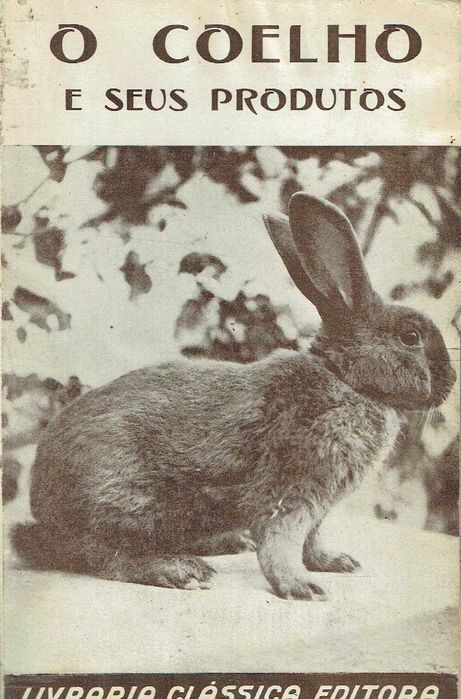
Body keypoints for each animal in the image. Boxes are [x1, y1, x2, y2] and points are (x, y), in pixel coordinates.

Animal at [12, 193, 456, 600]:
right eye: (411, 336)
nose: (451, 381)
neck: (345, 379)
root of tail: (42, 509)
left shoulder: (320, 506)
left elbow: (311, 541)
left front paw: (334, 563)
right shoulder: (292, 489)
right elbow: (281, 542)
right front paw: (301, 586)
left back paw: (227, 544)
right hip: (120, 503)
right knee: (102, 555)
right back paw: (178, 570)